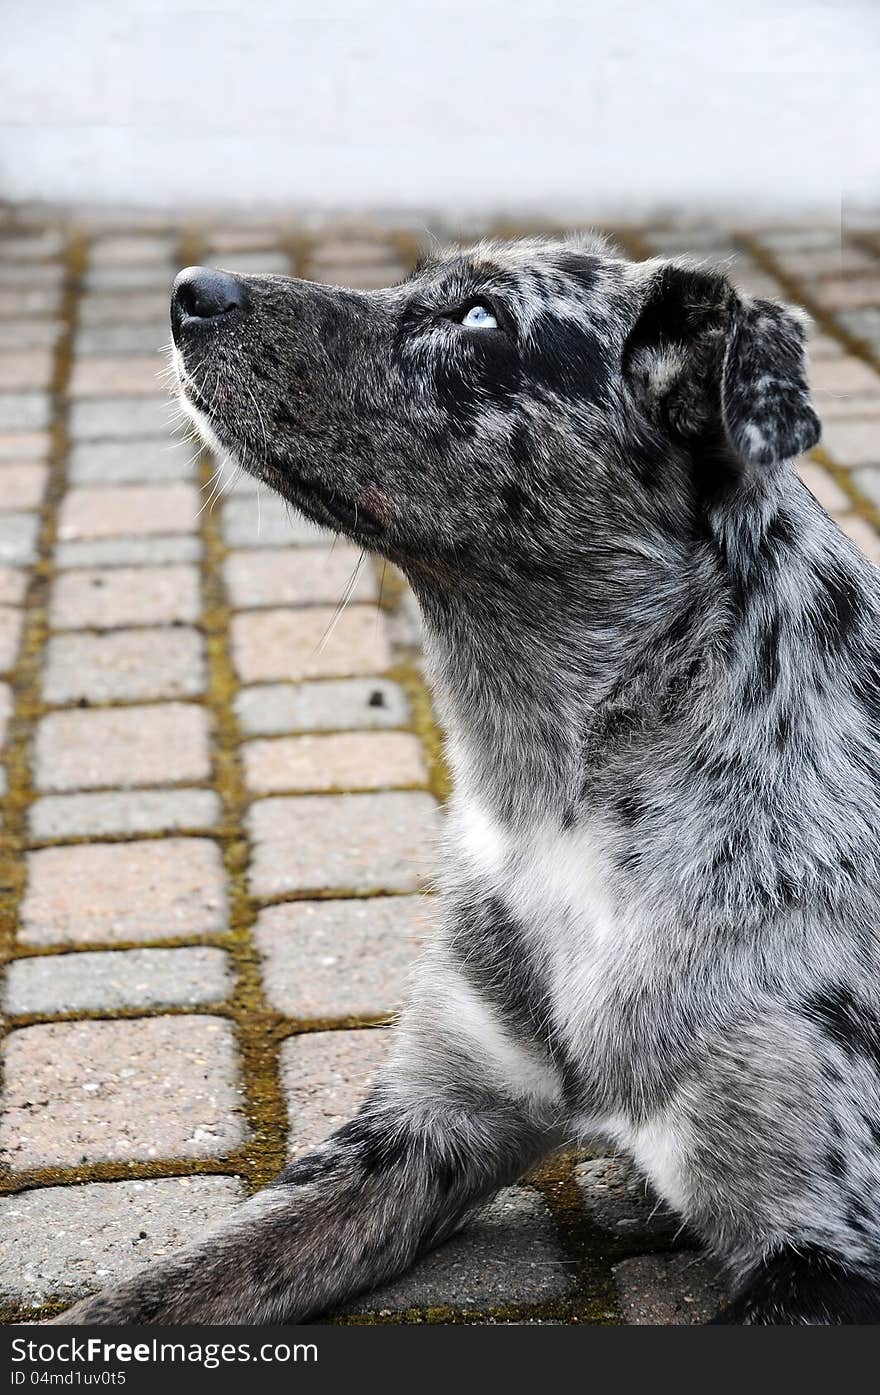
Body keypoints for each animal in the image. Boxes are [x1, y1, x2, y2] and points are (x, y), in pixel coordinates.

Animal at [56, 234, 880, 1322]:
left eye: (481, 317)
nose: (190, 290)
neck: (562, 810)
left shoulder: (820, 1251)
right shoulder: (422, 1121)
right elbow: (167, 1288)